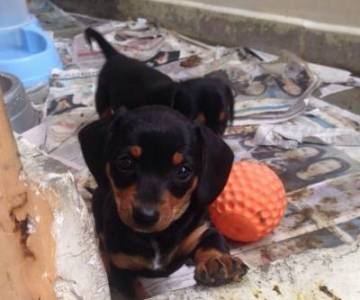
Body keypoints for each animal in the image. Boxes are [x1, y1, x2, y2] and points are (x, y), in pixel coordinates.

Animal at [78, 106, 248, 298]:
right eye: (125, 162)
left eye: (183, 170)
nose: (145, 216)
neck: (154, 236)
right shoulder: (120, 267)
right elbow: (137, 293)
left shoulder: (202, 231)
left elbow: (213, 243)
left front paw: (217, 262)